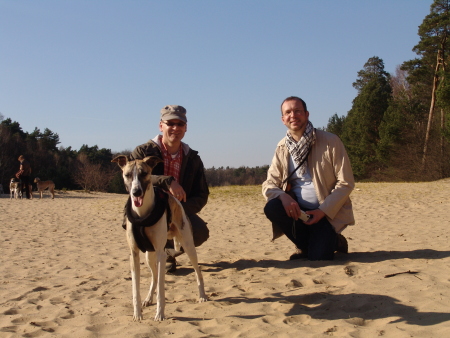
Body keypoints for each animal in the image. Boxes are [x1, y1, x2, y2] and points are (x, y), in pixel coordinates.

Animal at [111, 154, 207, 320]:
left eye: (144, 173)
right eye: (127, 175)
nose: (136, 192)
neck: (142, 215)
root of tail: (175, 200)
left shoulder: (161, 254)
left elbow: (162, 288)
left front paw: (160, 314)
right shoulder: (134, 254)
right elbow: (135, 288)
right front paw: (137, 314)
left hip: (188, 245)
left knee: (197, 271)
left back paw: (202, 295)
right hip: (149, 256)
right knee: (154, 277)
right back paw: (148, 298)